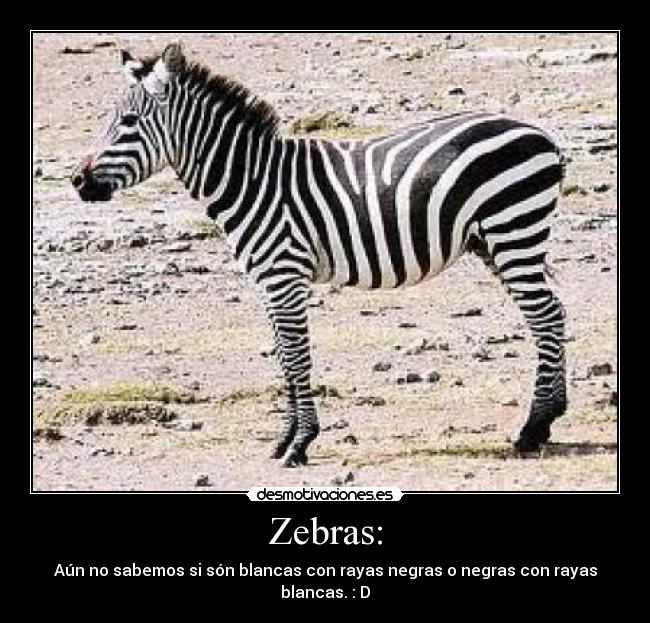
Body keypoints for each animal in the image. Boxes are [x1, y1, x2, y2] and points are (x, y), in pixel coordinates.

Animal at [72, 43, 567, 468]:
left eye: (128, 122)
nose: (77, 182)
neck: (251, 181)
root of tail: (540, 134)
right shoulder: (268, 283)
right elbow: (282, 358)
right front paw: (285, 440)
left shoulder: (284, 277)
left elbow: (296, 357)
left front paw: (301, 443)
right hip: (494, 241)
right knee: (550, 314)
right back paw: (547, 420)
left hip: (514, 229)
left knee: (545, 316)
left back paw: (532, 428)